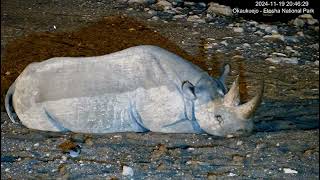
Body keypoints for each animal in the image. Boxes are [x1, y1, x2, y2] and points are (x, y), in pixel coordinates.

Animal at [5, 45, 262, 136]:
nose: (245, 131)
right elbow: (196, 127)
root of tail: (17, 81)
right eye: (218, 117)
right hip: (30, 95)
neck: (193, 93)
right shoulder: (159, 120)